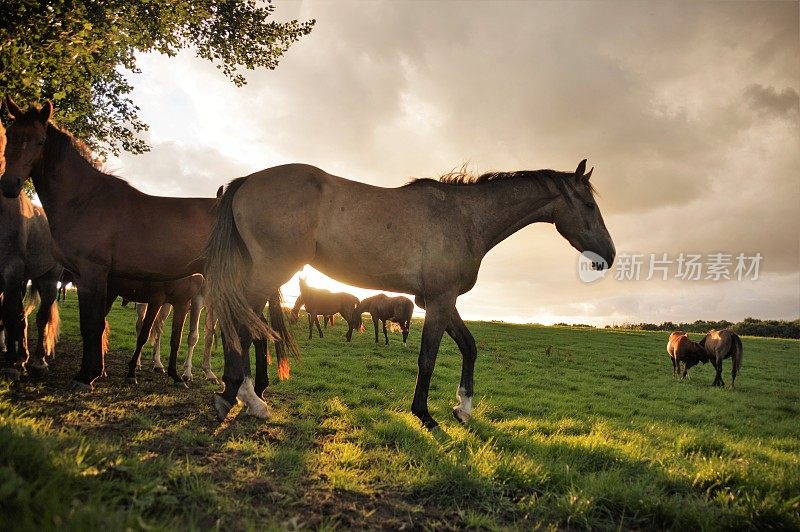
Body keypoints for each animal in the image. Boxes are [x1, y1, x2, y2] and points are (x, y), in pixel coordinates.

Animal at [0, 98, 294, 404]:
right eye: (10, 134)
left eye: (39, 141)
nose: (9, 185)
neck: (86, 199)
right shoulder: (86, 278)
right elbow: (92, 325)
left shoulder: (93, 273)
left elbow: (93, 325)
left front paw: (86, 377)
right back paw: (252, 389)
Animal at [205, 158, 612, 428]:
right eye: (589, 204)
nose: (608, 255)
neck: (465, 218)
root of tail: (246, 180)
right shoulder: (441, 301)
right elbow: (427, 358)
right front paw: (425, 415)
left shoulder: (440, 300)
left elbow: (469, 347)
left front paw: (463, 408)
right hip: (267, 273)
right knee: (241, 329)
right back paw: (241, 397)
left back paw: (240, 394)